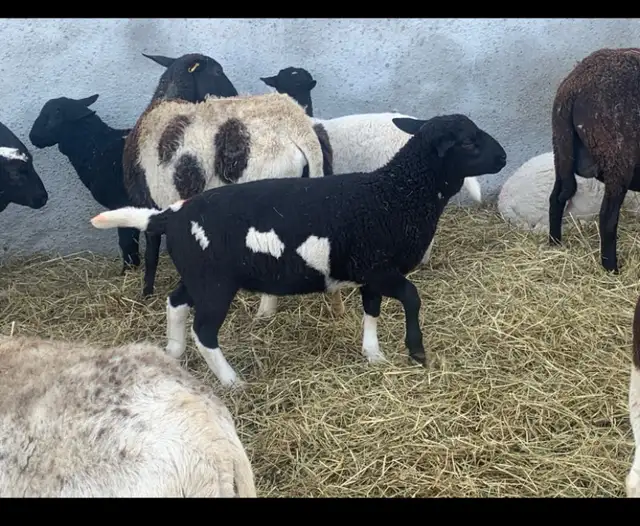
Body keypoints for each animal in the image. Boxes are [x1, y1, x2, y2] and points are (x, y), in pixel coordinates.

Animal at [28, 94, 140, 274]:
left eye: (53, 115)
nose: (33, 137)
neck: (96, 152)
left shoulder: (123, 205)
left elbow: (127, 241)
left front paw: (127, 271)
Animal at [549, 47, 640, 273]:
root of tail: (573, 86)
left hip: (560, 148)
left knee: (557, 196)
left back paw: (554, 244)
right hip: (617, 157)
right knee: (607, 217)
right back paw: (611, 269)